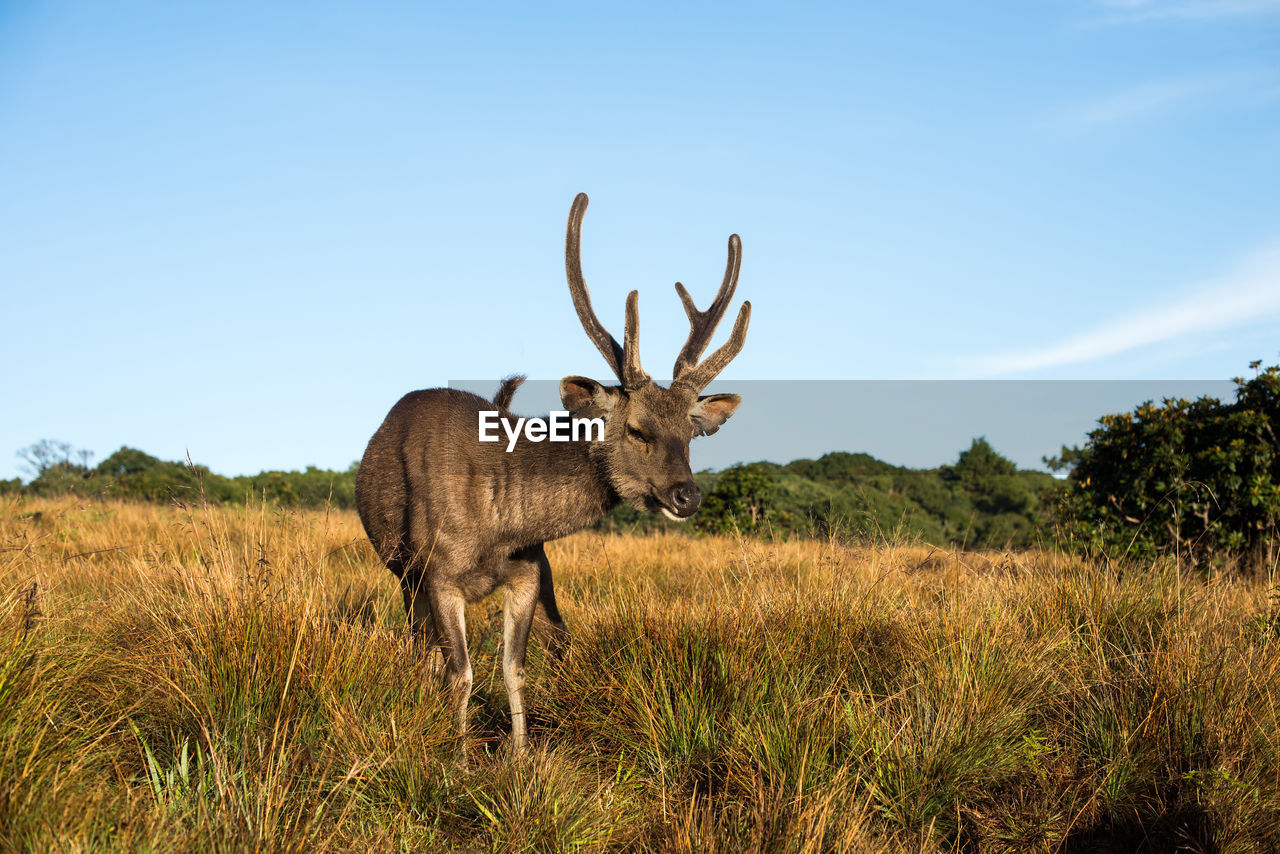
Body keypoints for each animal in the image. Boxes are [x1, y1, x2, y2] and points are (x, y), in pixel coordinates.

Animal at [353, 192, 747, 752]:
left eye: (690, 434)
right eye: (638, 430)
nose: (686, 496)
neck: (498, 527)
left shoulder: (528, 572)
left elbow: (513, 670)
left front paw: (520, 755)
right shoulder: (437, 573)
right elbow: (461, 674)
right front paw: (458, 754)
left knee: (555, 643)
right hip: (402, 571)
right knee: (420, 648)